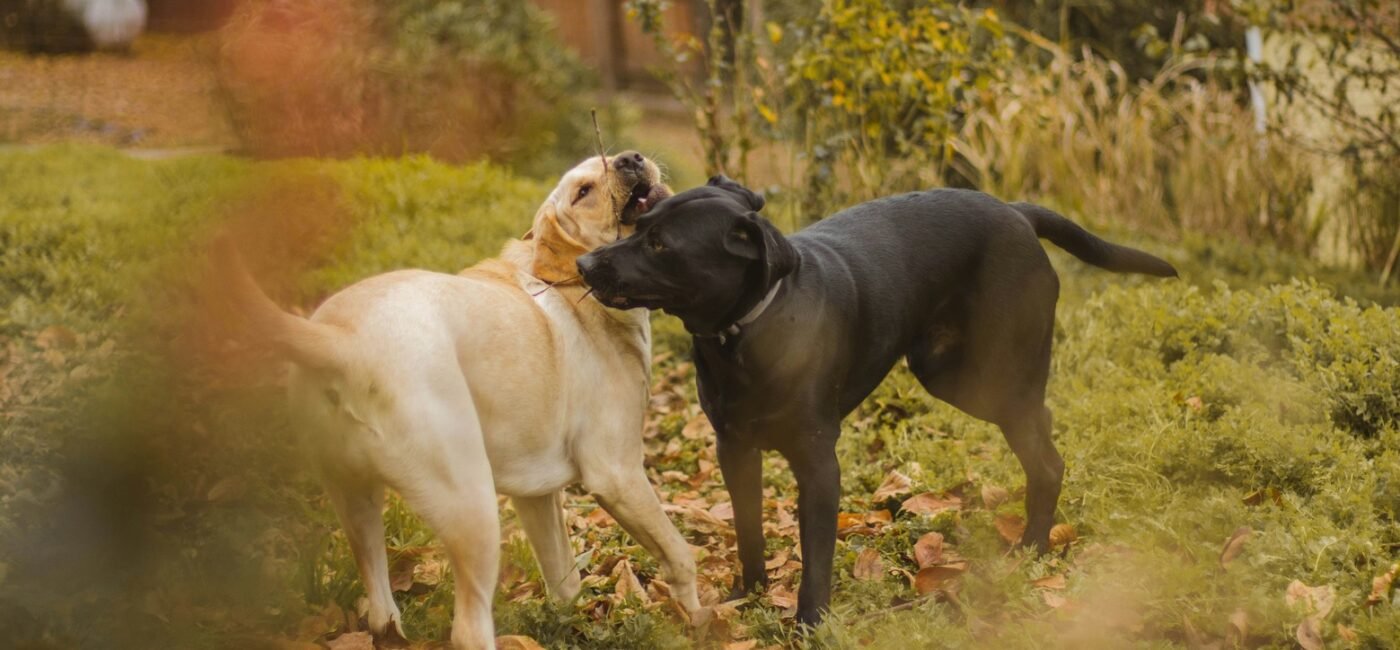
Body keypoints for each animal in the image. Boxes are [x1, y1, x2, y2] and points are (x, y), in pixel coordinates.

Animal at [222, 152, 694, 644]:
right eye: (583, 192)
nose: (630, 158)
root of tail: (340, 339)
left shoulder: (537, 496)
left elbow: (565, 581)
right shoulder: (617, 474)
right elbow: (680, 556)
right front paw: (702, 620)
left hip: (356, 501)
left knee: (381, 609)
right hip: (473, 507)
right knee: (468, 628)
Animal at [574, 176, 1176, 624]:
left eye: (661, 246)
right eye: (638, 222)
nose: (585, 266)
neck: (748, 331)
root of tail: (1016, 212)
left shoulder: (819, 463)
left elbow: (817, 557)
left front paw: (809, 624)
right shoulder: (734, 450)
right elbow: (748, 532)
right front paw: (748, 597)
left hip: (994, 377)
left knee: (1046, 458)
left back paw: (1032, 548)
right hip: (952, 375)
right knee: (1041, 423)